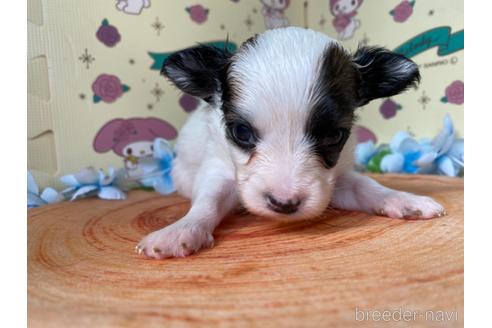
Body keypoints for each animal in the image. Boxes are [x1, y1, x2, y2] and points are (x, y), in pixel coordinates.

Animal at [135, 27, 446, 258]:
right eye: (241, 132)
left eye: (334, 136)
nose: (283, 204)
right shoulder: (218, 168)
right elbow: (208, 201)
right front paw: (181, 230)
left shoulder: (334, 178)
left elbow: (366, 187)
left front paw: (404, 199)